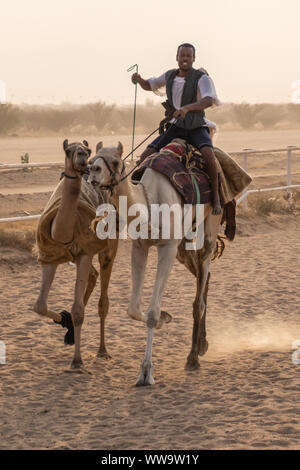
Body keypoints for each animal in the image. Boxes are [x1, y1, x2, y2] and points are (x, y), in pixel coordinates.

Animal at [32, 138, 117, 372]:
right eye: (68, 150)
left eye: (86, 150)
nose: (83, 159)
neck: (62, 232)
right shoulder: (50, 255)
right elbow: (40, 305)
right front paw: (63, 319)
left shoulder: (85, 253)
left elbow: (78, 310)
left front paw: (77, 361)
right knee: (93, 276)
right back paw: (70, 331)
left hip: (107, 248)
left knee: (102, 298)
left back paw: (102, 351)